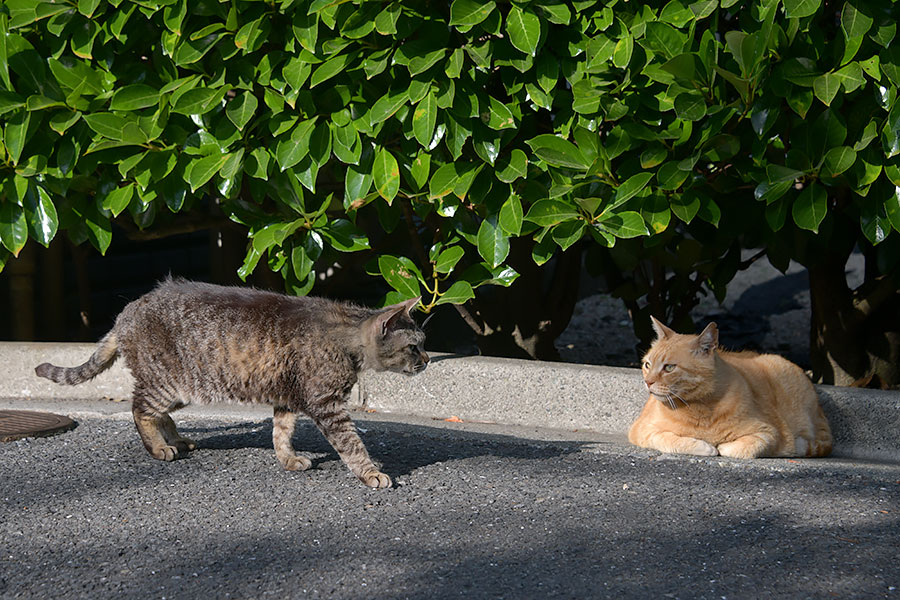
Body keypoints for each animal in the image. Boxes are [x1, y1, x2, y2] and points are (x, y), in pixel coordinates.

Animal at [35, 278, 428, 490]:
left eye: (424, 343)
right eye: (414, 346)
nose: (426, 360)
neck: (346, 335)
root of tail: (125, 313)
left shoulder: (287, 399)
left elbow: (281, 433)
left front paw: (287, 459)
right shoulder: (327, 405)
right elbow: (352, 445)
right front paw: (371, 473)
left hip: (180, 390)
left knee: (160, 414)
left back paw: (177, 439)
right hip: (167, 384)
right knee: (140, 410)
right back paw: (159, 447)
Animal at [624, 316, 828, 458]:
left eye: (669, 367)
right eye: (647, 364)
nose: (648, 381)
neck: (701, 408)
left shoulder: (770, 433)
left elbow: (741, 449)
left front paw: (722, 446)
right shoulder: (643, 431)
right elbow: (669, 439)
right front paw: (706, 447)